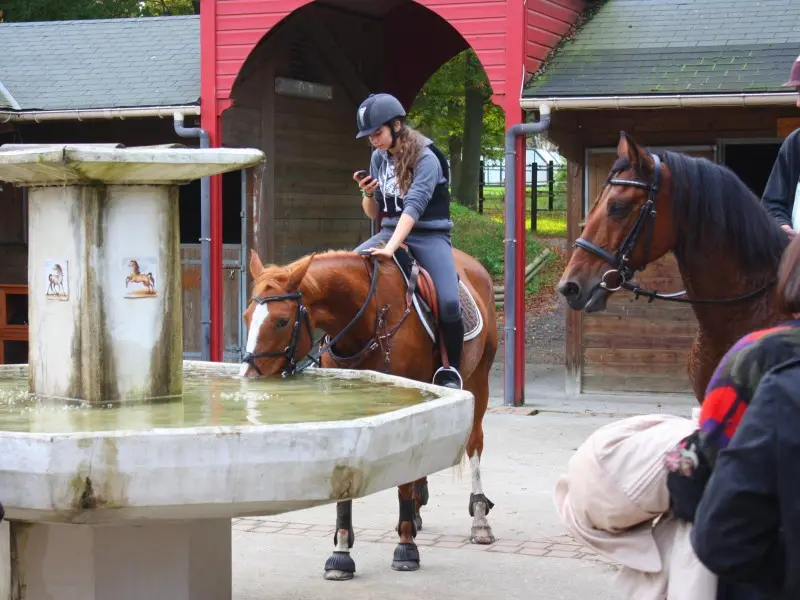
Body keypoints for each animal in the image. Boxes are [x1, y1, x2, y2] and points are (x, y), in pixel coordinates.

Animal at [241, 246, 496, 580]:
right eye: (247, 317)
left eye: (282, 322)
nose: (248, 377)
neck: (369, 320)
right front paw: (340, 552)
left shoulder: (404, 398)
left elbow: (404, 484)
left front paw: (406, 548)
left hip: (479, 380)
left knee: (475, 444)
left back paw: (479, 519)